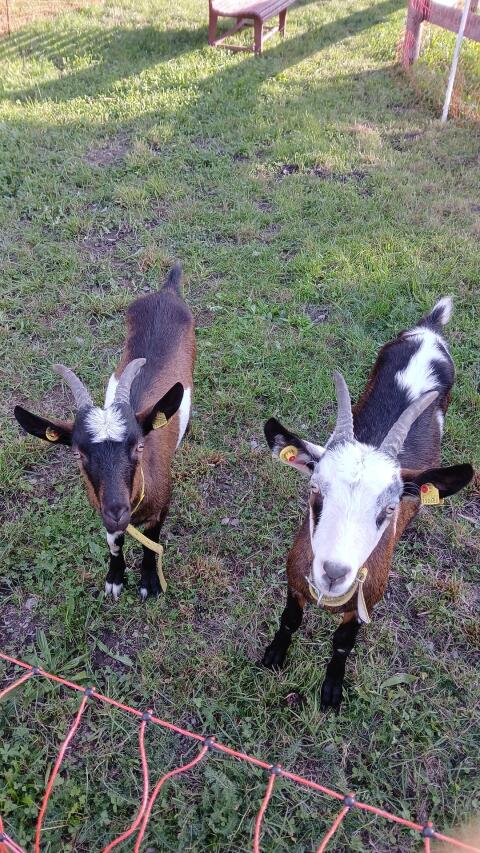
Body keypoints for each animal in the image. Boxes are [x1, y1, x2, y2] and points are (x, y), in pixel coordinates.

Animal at [14, 264, 195, 601]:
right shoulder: (102, 509)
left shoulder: (163, 504)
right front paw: (115, 578)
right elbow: (114, 543)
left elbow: (152, 543)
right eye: (78, 453)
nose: (117, 510)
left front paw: (150, 582)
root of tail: (167, 290)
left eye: (138, 446)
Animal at [262, 298, 473, 711]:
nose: (333, 572)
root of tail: (430, 330)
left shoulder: (367, 601)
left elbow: (343, 644)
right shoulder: (295, 577)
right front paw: (274, 656)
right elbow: (290, 619)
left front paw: (331, 692)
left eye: (389, 509)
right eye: (315, 489)